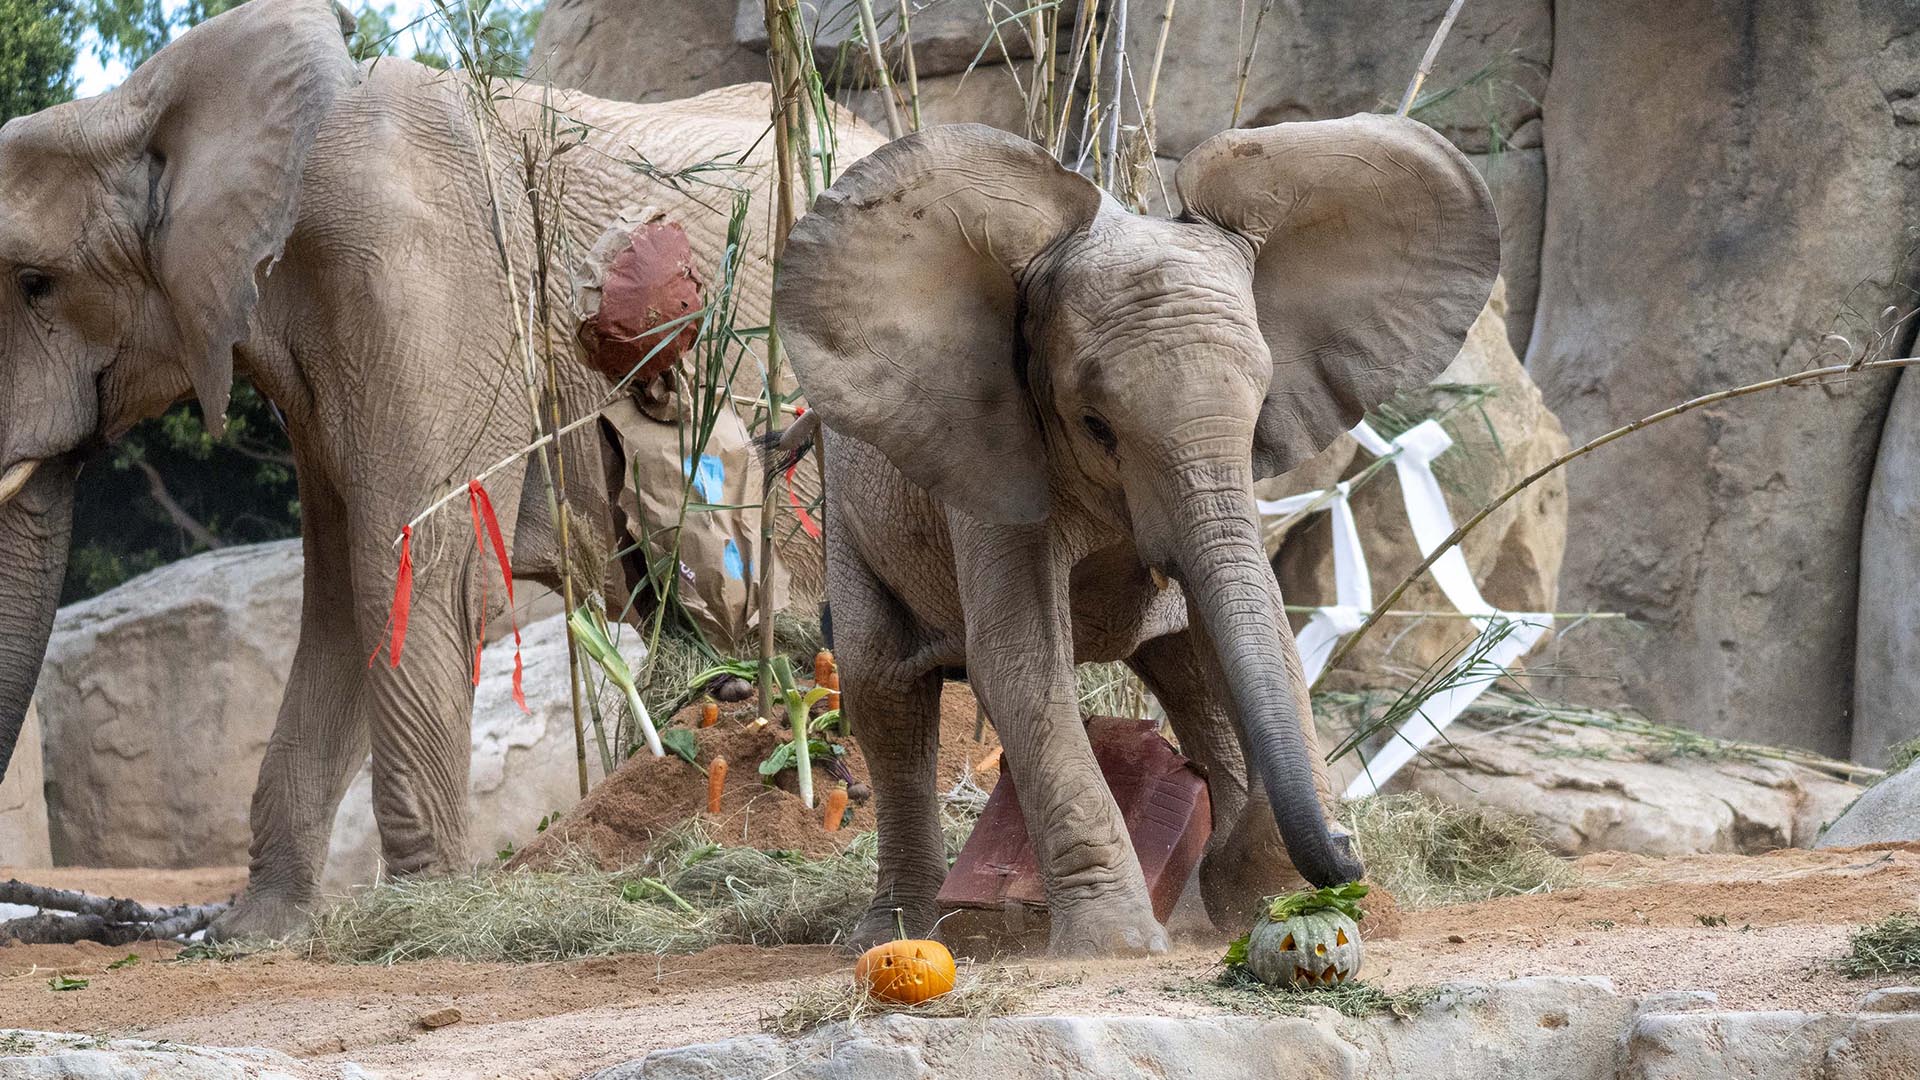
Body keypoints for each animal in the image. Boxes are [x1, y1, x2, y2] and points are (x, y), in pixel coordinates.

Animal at [0, 0, 879, 938]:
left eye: (36, 283)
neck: (144, 98)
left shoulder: (436, 284)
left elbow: (406, 568)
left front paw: (422, 912)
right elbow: (340, 597)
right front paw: (254, 934)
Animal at [774, 119, 1499, 953]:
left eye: (1260, 411)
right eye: (1096, 425)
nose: (1348, 850)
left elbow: (1257, 630)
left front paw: (1264, 893)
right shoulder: (992, 457)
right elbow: (1021, 661)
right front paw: (1116, 944)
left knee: (1190, 674)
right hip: (849, 516)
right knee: (883, 693)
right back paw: (890, 935)